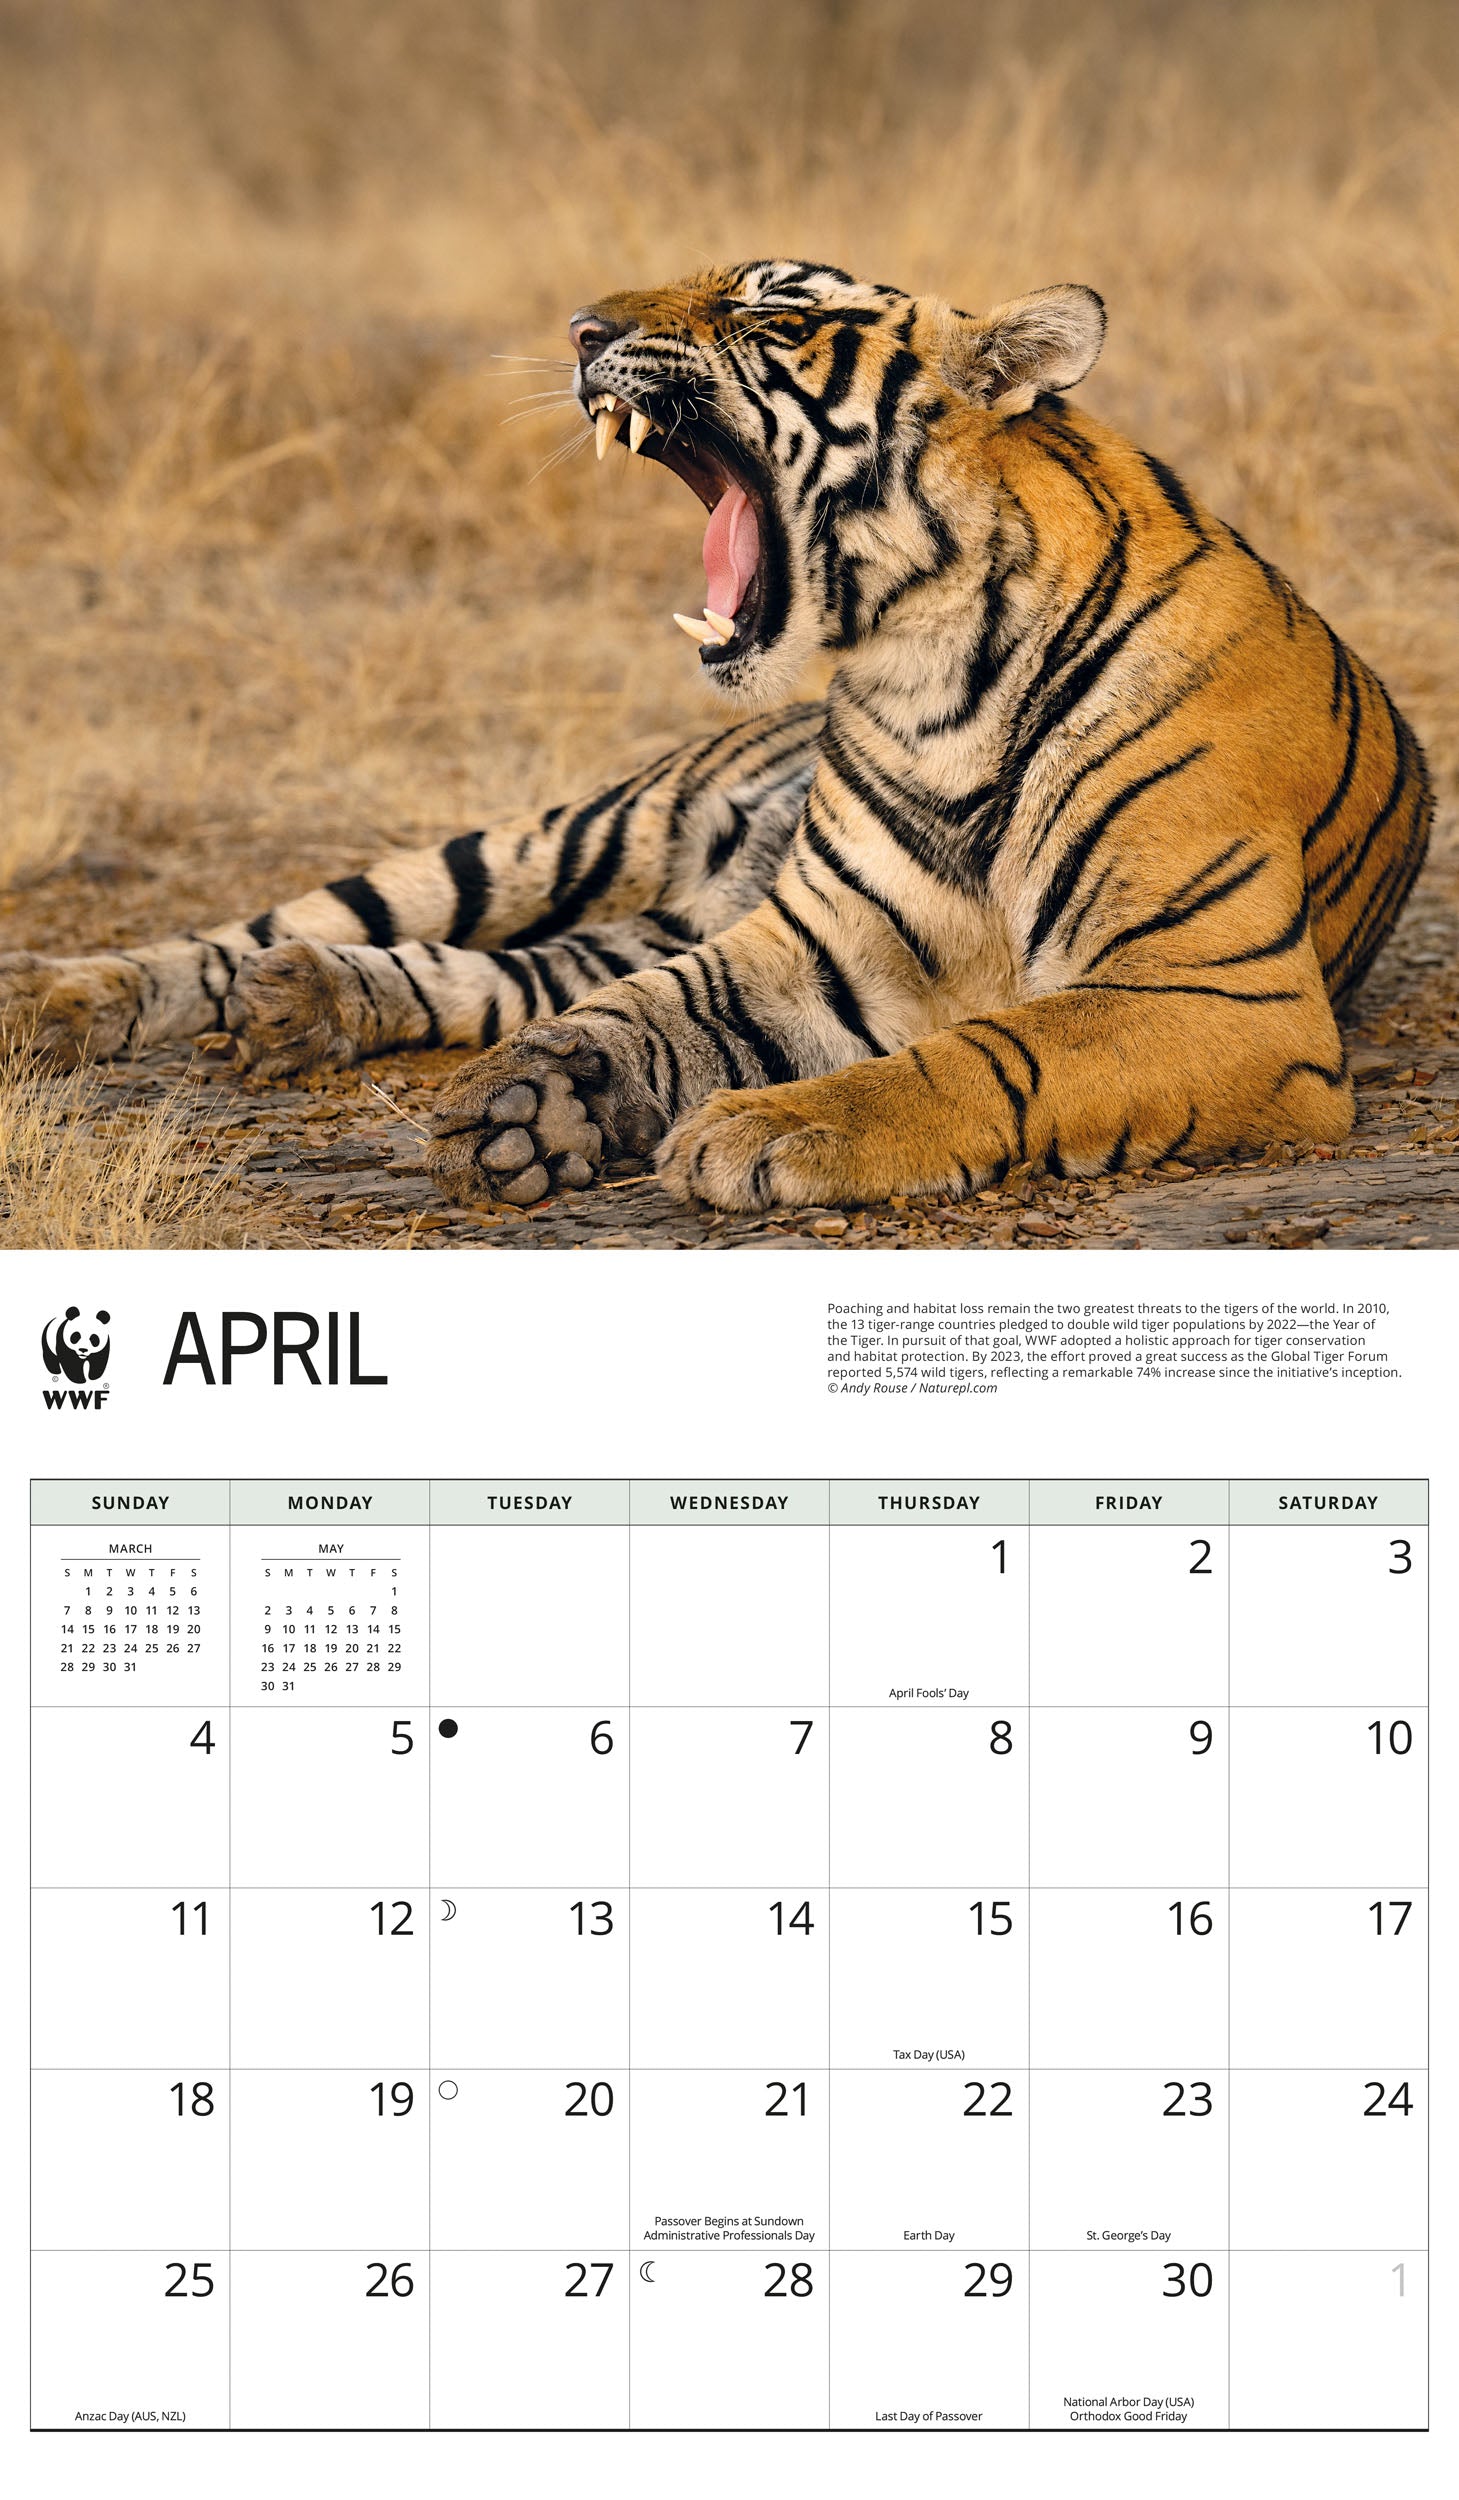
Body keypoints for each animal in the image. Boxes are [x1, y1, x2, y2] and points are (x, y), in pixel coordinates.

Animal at [0, 259, 1431, 1214]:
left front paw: (750, 1129)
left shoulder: (1216, 991)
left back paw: (300, 1003)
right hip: (560, 835)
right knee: (273, 929)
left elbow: (994, 1047)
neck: (932, 678)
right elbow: (647, 1011)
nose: (582, 330)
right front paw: (549, 1094)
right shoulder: (807, 941)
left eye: (772, 315)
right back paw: (77, 994)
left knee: (499, 969)